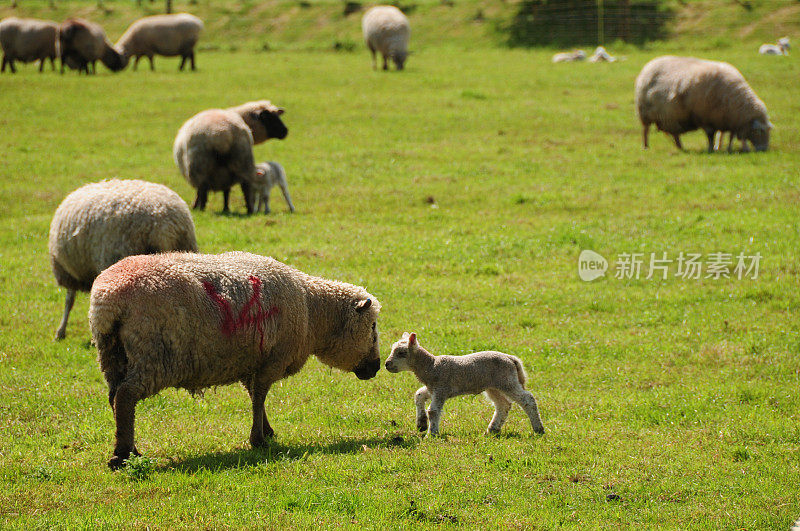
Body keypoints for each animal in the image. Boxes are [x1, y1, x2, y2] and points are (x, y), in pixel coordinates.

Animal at [89, 252, 382, 470]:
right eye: (373, 327)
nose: (377, 367)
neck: (312, 312)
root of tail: (107, 301)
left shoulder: (251, 361)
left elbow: (255, 396)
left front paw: (266, 430)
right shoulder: (272, 359)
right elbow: (260, 395)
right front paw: (259, 440)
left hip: (113, 355)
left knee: (115, 398)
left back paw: (130, 448)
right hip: (154, 355)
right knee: (126, 396)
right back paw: (122, 455)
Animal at [384, 332, 548, 436]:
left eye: (401, 353)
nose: (386, 364)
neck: (431, 366)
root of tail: (512, 359)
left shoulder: (441, 388)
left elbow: (433, 411)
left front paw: (432, 433)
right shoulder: (433, 388)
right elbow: (418, 395)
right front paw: (421, 424)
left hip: (507, 381)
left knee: (527, 399)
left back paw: (538, 429)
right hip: (493, 386)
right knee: (503, 405)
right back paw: (492, 429)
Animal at [636, 55, 772, 153]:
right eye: (758, 131)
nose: (763, 149)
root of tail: (650, 64)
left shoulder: (730, 120)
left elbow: (731, 136)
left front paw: (729, 148)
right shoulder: (706, 118)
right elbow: (710, 136)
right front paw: (711, 149)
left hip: (671, 116)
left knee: (675, 134)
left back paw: (681, 147)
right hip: (644, 113)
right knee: (645, 131)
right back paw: (646, 146)